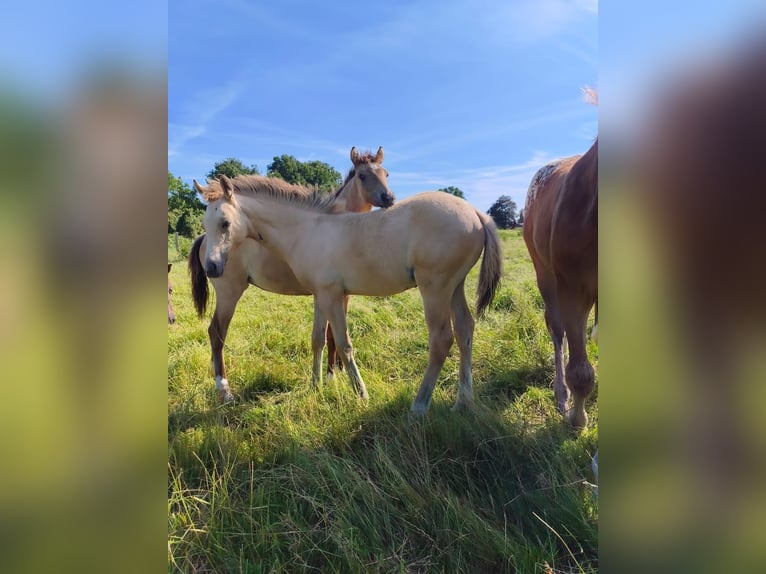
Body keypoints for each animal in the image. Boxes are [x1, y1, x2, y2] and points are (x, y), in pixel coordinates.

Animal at [188, 147, 395, 403]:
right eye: (362, 175)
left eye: (386, 173)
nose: (389, 198)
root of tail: (203, 242)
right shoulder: (337, 293)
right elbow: (332, 336)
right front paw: (332, 378)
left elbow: (324, 336)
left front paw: (332, 373)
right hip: (229, 293)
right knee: (216, 332)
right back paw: (224, 390)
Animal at [193, 175, 502, 415]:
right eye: (206, 223)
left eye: (225, 222)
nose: (212, 267)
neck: (306, 230)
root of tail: (476, 213)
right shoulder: (320, 294)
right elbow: (318, 339)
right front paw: (315, 386)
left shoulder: (332, 295)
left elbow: (343, 343)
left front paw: (360, 393)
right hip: (455, 286)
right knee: (465, 330)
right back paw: (463, 402)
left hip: (435, 287)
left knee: (441, 339)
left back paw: (419, 406)